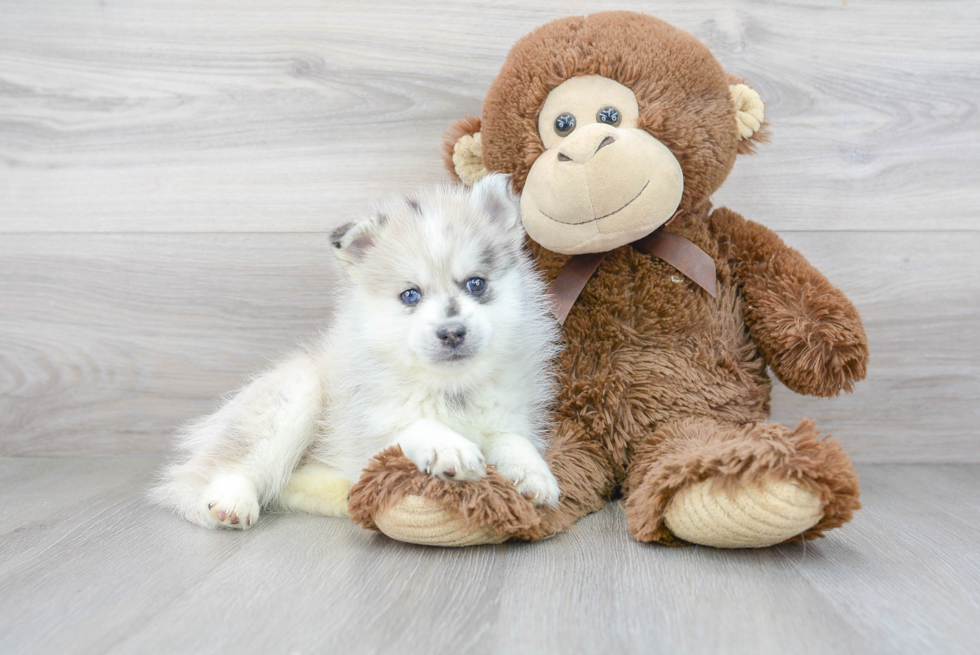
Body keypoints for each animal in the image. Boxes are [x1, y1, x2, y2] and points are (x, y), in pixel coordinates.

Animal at [155, 173, 568, 528]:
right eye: (410, 295)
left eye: (476, 284)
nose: (452, 333)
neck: (451, 390)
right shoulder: (369, 435)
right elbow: (415, 424)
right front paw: (450, 447)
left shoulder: (509, 415)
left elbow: (513, 439)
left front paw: (533, 474)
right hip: (293, 395)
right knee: (224, 466)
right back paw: (232, 501)